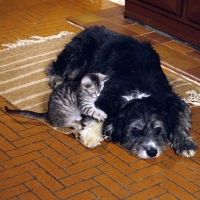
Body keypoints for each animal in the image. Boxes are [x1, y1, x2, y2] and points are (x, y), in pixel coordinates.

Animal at [46, 25, 197, 159]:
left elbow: (180, 120)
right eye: (134, 130)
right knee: (56, 70)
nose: (152, 152)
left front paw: (185, 144)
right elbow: (97, 114)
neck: (139, 92)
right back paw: (59, 83)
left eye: (158, 130)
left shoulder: (173, 101)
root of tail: (91, 27)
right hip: (77, 58)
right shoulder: (103, 95)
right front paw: (91, 136)